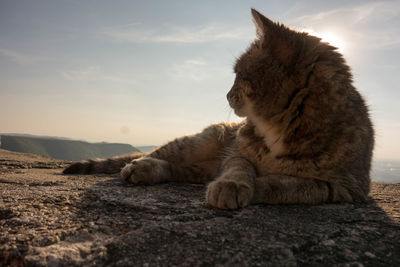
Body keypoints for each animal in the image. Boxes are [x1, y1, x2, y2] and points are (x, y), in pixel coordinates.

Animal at [61, 8, 372, 211]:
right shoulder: (236, 151)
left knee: (187, 171)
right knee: (158, 155)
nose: (226, 94)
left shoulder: (345, 187)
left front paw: (253, 186)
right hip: (202, 140)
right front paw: (233, 184)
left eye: (239, 74)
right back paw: (141, 166)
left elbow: (289, 185)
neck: (280, 127)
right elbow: (239, 167)